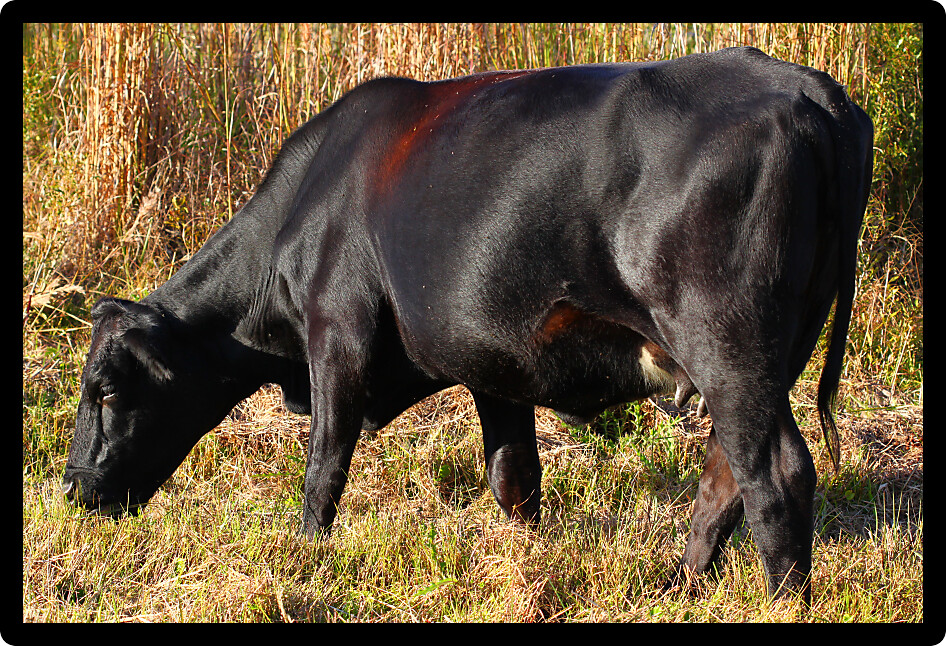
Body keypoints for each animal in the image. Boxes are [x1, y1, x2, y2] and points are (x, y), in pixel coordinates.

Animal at [63, 47, 873, 603]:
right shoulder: (494, 362)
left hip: (727, 344)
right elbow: (513, 477)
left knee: (774, 474)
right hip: (768, 355)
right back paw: (681, 583)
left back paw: (780, 601)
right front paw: (527, 563)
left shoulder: (338, 336)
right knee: (725, 474)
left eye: (106, 390)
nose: (71, 491)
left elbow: (325, 465)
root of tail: (805, 88)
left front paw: (304, 556)